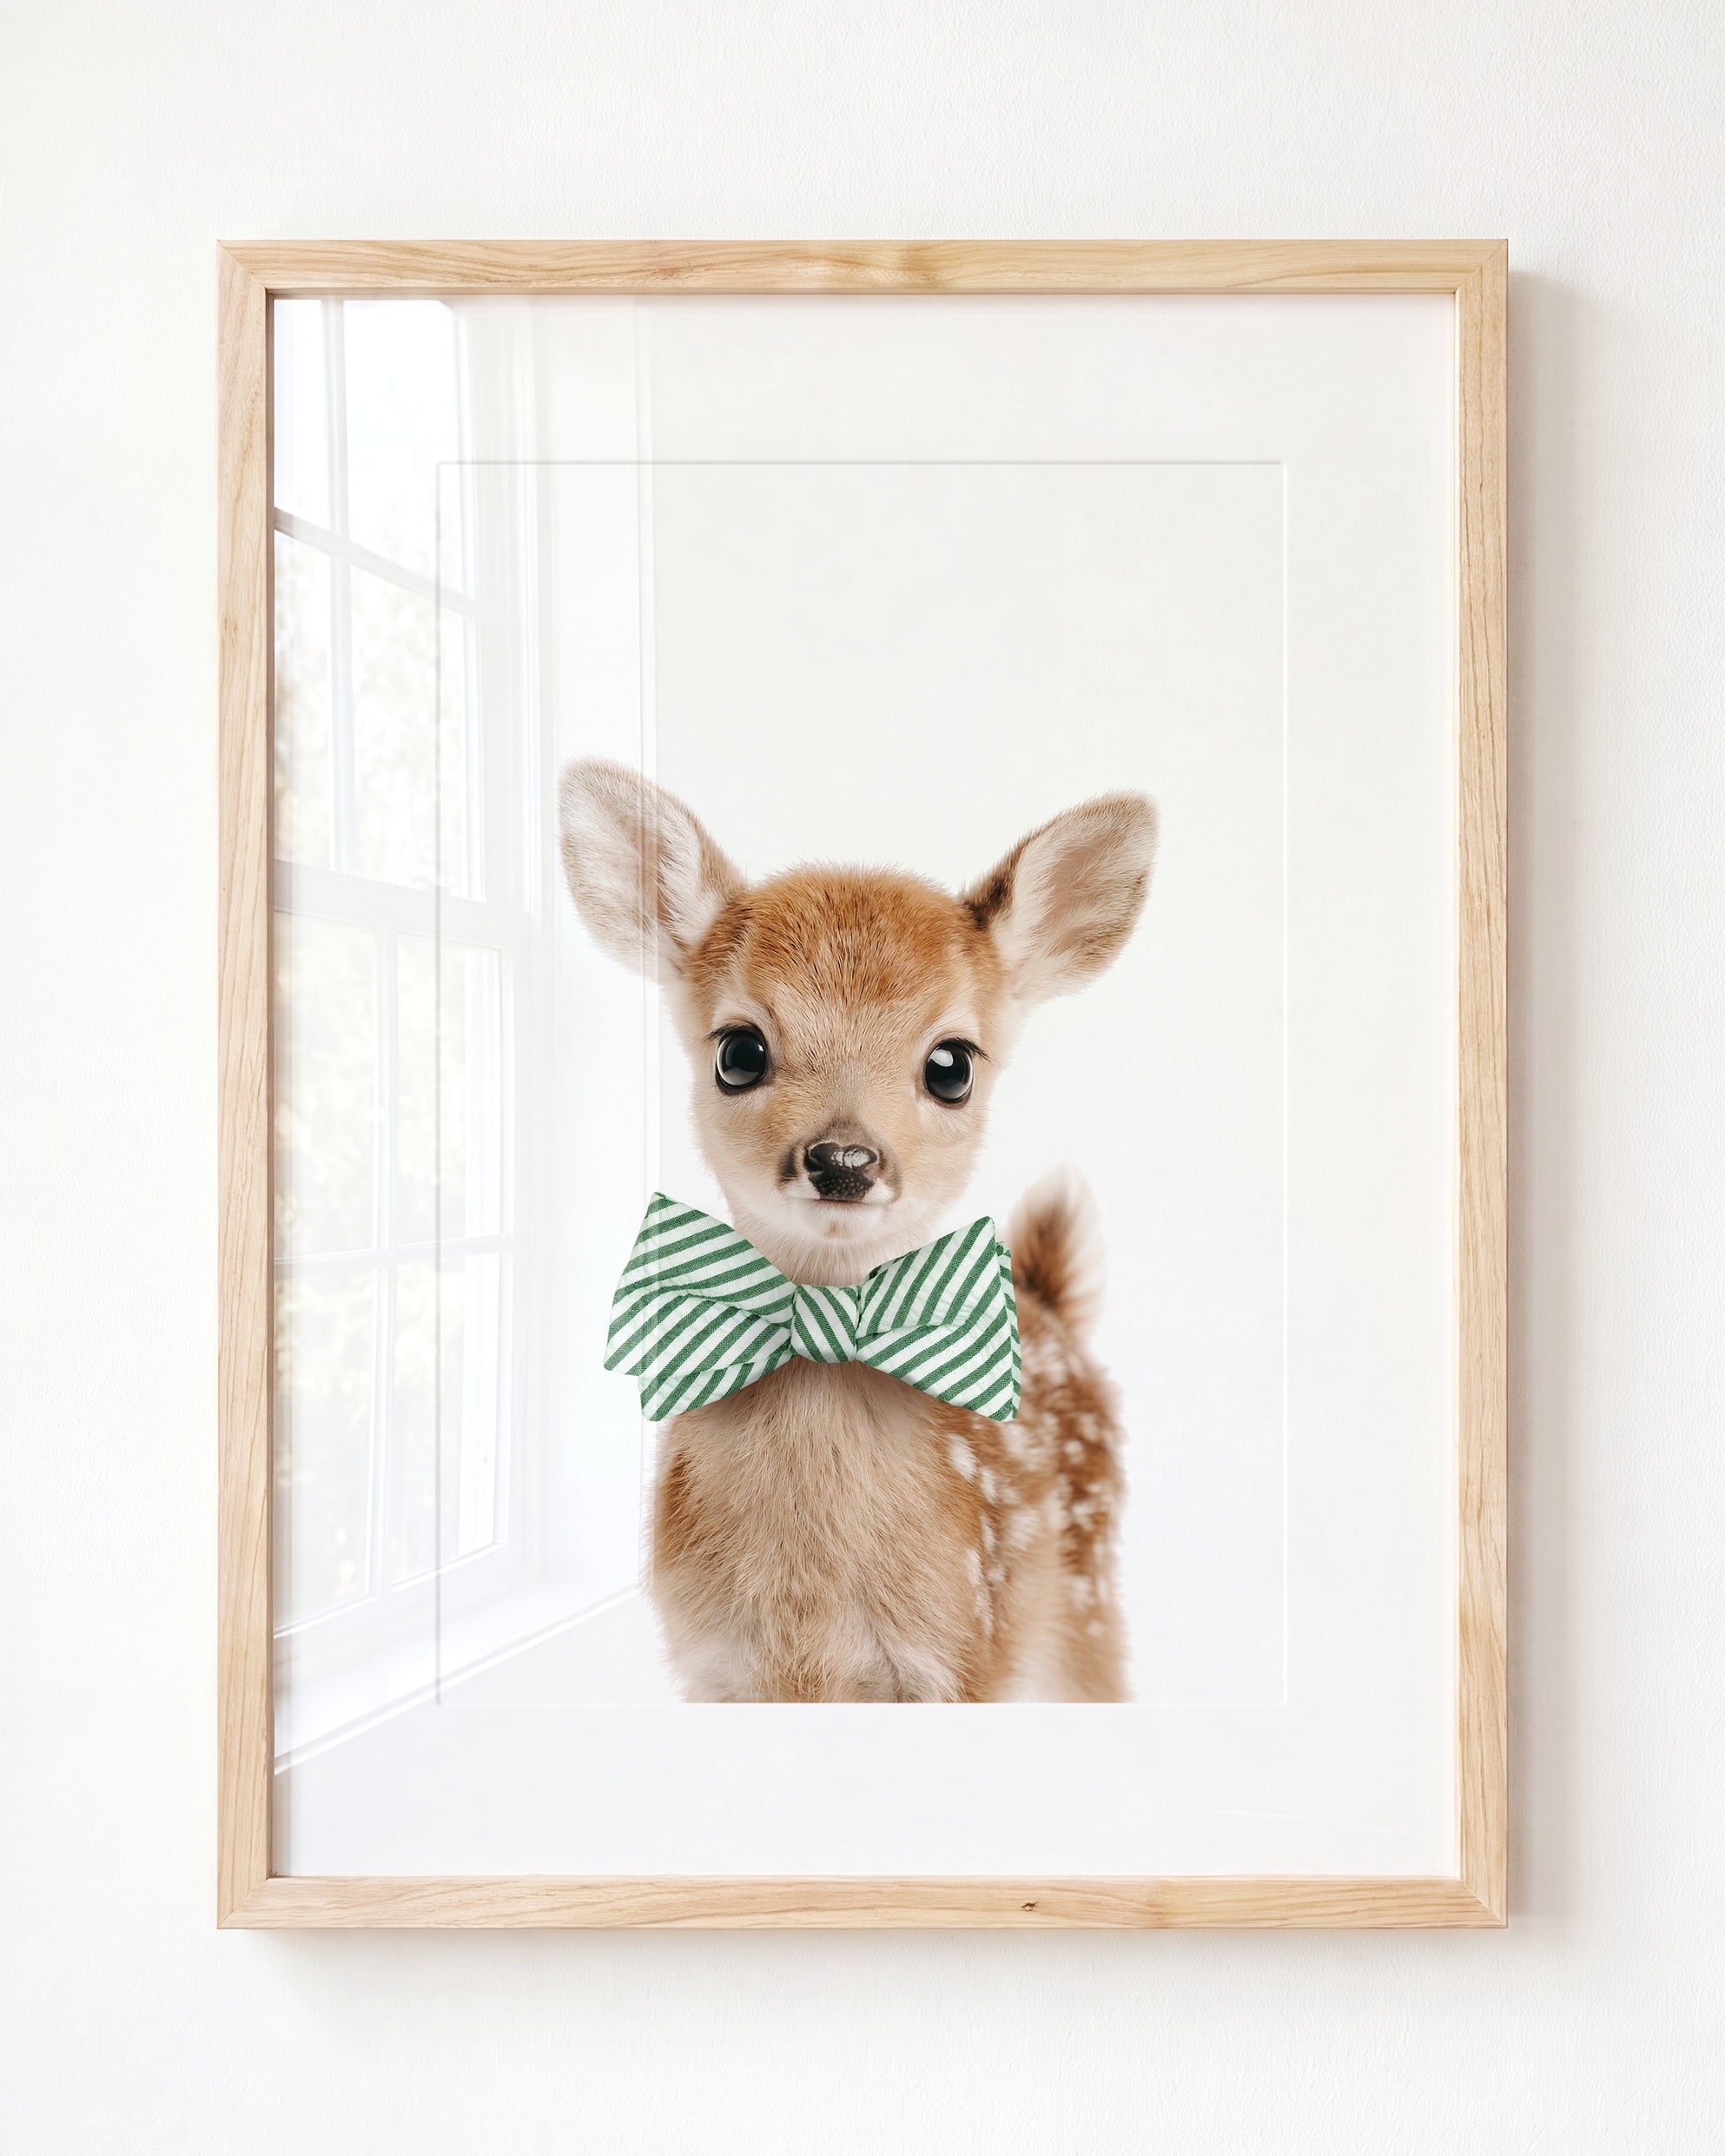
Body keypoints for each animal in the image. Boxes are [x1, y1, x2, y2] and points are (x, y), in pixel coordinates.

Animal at [558, 758, 1157, 1701]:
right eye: (738, 1051)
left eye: (951, 1065)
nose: (843, 1158)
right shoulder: (713, 1666)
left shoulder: (962, 1655)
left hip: (1085, 1605)